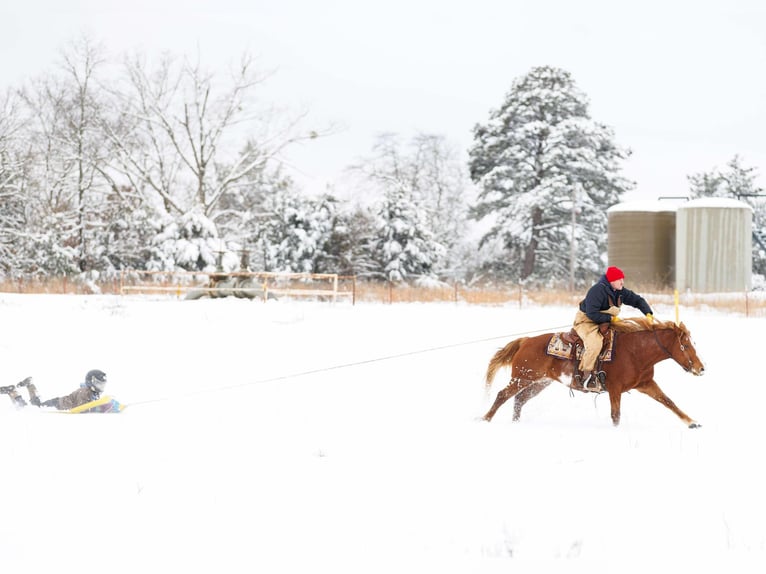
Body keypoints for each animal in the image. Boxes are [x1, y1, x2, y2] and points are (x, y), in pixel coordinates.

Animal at [482, 317, 705, 428]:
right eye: (685, 345)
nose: (700, 368)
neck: (635, 351)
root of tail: (526, 340)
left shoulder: (646, 384)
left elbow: (669, 402)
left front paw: (692, 422)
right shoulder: (615, 389)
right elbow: (616, 415)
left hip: (539, 382)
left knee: (519, 400)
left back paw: (515, 423)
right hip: (522, 378)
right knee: (502, 395)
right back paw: (485, 419)